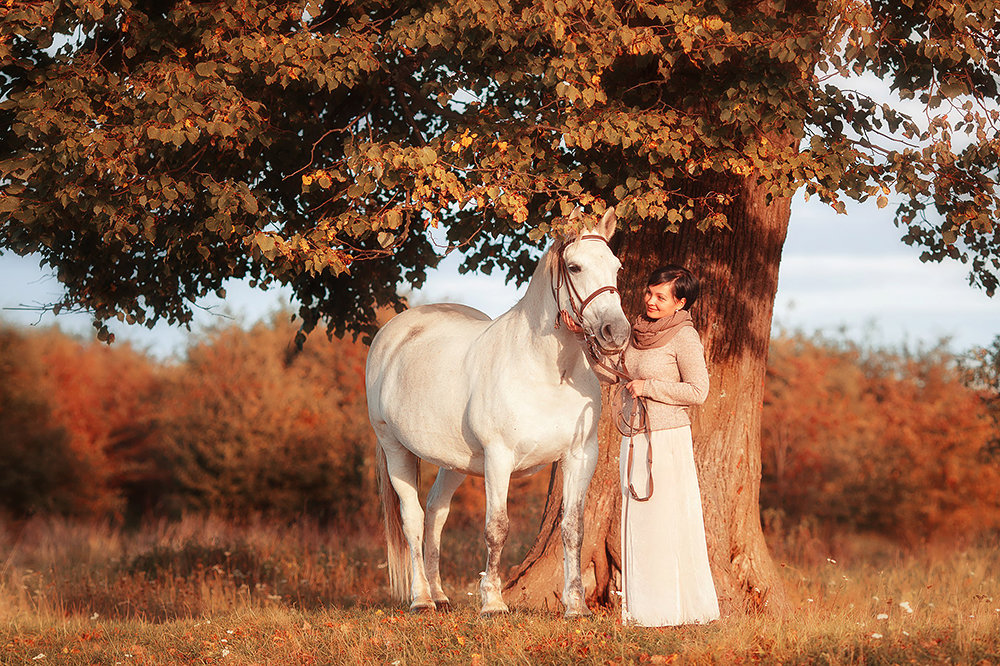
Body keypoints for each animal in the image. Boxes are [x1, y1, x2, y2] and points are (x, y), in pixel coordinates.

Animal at [364, 206, 628, 612]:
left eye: (616, 266)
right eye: (575, 267)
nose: (616, 332)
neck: (547, 372)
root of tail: (392, 332)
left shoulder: (580, 455)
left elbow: (573, 528)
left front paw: (576, 606)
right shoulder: (499, 456)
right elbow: (497, 528)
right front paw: (492, 601)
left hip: (453, 462)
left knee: (436, 513)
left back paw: (440, 596)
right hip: (396, 449)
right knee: (413, 518)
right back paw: (421, 598)